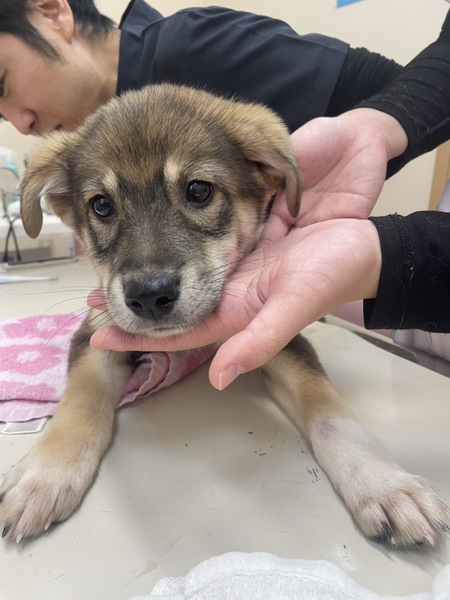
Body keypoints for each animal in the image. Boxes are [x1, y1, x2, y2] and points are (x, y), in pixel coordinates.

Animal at [1, 84, 448, 547]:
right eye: (101, 205)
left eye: (199, 190)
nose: (149, 297)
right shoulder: (96, 335)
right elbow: (79, 402)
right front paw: (43, 476)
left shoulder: (279, 334)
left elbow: (329, 411)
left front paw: (385, 483)